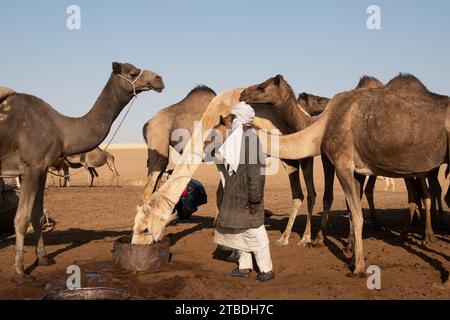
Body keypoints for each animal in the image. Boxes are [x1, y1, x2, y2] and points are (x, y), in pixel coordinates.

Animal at [0, 62, 165, 282]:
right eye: (131, 72)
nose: (159, 79)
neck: (62, 129)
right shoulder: (31, 166)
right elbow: (21, 218)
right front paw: (20, 271)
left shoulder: (42, 168)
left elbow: (37, 215)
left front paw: (43, 259)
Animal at [239, 74, 450, 276]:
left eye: (262, 87)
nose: (242, 93)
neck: (320, 127)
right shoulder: (354, 170)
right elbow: (350, 208)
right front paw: (350, 254)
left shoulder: (341, 164)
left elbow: (353, 213)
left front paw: (356, 265)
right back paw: (409, 233)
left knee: (428, 194)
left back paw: (429, 238)